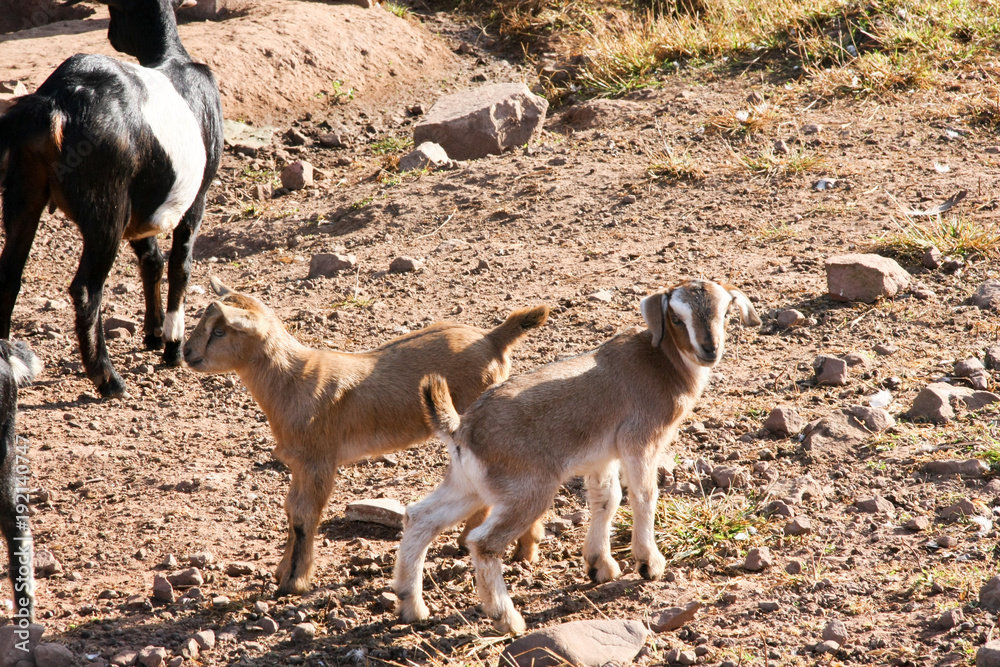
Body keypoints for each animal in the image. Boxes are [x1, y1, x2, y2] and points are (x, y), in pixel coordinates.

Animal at [0, 0, 221, 396]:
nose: (112, 33)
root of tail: (55, 103)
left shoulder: (141, 207)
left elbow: (152, 259)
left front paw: (154, 334)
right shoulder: (196, 199)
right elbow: (181, 264)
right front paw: (173, 347)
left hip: (24, 189)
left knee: (10, 272)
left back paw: (9, 362)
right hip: (106, 207)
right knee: (87, 289)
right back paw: (109, 379)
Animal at [184, 278, 552, 596]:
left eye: (219, 330)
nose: (186, 353)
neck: (293, 380)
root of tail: (492, 339)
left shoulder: (318, 460)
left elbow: (304, 515)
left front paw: (293, 582)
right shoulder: (299, 463)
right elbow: (291, 510)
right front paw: (282, 572)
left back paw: (518, 550)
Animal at [394, 280, 760, 636]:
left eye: (726, 313)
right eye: (676, 318)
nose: (709, 349)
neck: (661, 364)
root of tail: (462, 429)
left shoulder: (602, 456)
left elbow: (606, 500)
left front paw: (600, 565)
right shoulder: (639, 440)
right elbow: (644, 495)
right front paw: (649, 563)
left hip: (468, 485)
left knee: (420, 517)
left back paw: (412, 606)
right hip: (527, 492)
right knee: (483, 544)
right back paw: (506, 619)